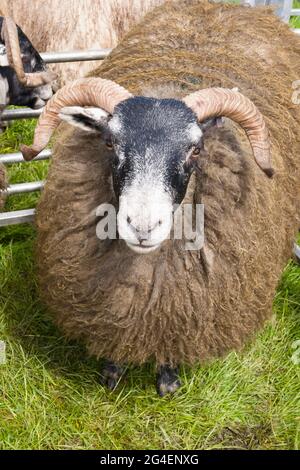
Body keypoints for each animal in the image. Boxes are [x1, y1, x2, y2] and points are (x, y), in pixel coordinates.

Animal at [21, 0, 300, 396]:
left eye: (196, 150)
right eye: (110, 142)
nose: (142, 226)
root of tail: (229, 6)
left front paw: (168, 380)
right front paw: (112, 371)